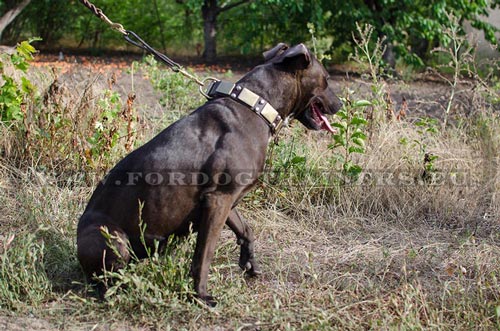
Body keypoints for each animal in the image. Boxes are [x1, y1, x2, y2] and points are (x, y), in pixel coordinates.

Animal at [77, 42, 344, 308]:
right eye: (327, 79)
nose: (341, 104)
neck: (255, 106)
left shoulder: (225, 199)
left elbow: (245, 230)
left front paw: (249, 263)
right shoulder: (219, 201)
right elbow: (204, 254)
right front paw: (201, 295)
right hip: (110, 237)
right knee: (105, 279)